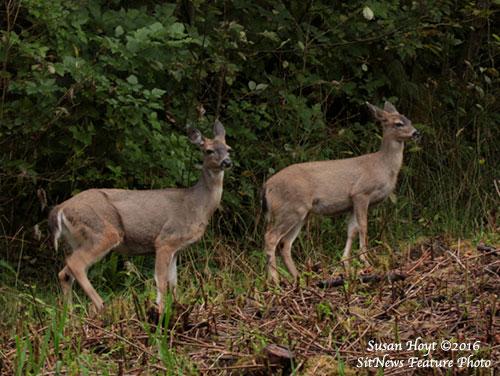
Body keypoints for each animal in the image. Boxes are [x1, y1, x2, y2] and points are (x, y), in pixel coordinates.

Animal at [48, 120, 232, 314]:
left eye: (229, 149)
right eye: (209, 150)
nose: (227, 162)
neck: (196, 205)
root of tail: (59, 208)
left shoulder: (176, 248)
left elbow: (174, 282)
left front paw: (176, 307)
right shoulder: (165, 239)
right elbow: (161, 280)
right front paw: (159, 310)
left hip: (77, 240)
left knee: (65, 273)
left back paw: (69, 314)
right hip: (102, 231)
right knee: (76, 265)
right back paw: (101, 306)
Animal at [264, 101, 420, 284]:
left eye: (409, 120)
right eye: (398, 123)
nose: (416, 133)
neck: (382, 166)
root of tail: (266, 187)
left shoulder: (351, 203)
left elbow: (352, 230)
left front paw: (345, 262)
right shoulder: (361, 193)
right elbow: (363, 226)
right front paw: (365, 260)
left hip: (302, 213)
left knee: (285, 243)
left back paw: (299, 278)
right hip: (290, 208)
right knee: (271, 237)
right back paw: (275, 280)